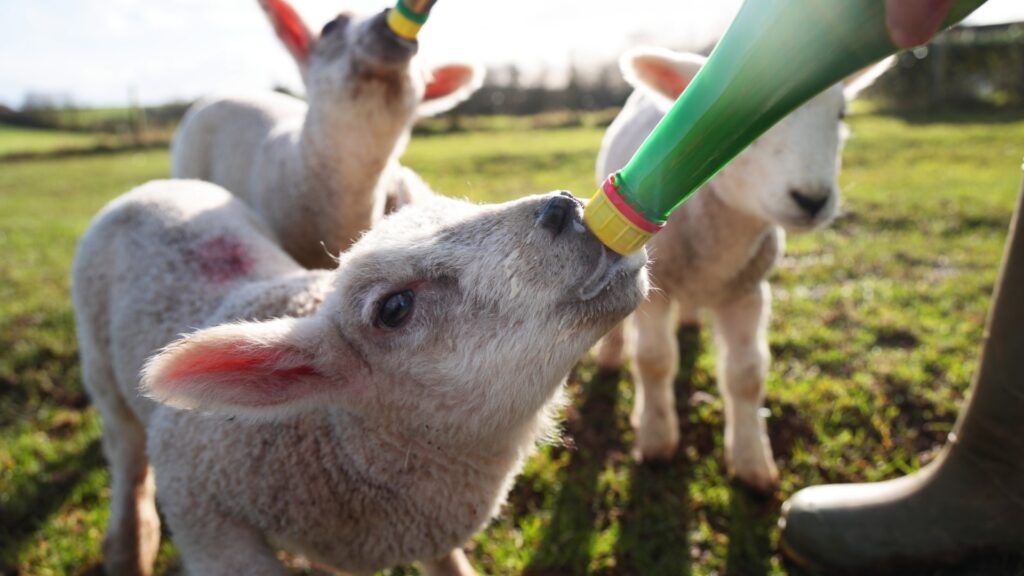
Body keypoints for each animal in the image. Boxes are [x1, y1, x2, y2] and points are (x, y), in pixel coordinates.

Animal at [72, 179, 647, 575]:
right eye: (393, 308)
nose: (564, 207)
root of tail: (152, 188)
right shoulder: (203, 511)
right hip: (101, 370)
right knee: (127, 454)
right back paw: (128, 548)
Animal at [593, 47, 890, 493]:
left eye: (841, 113)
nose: (812, 200)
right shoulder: (654, 290)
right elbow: (654, 360)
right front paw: (656, 439)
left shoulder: (748, 291)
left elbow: (747, 375)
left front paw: (752, 462)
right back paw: (611, 358)